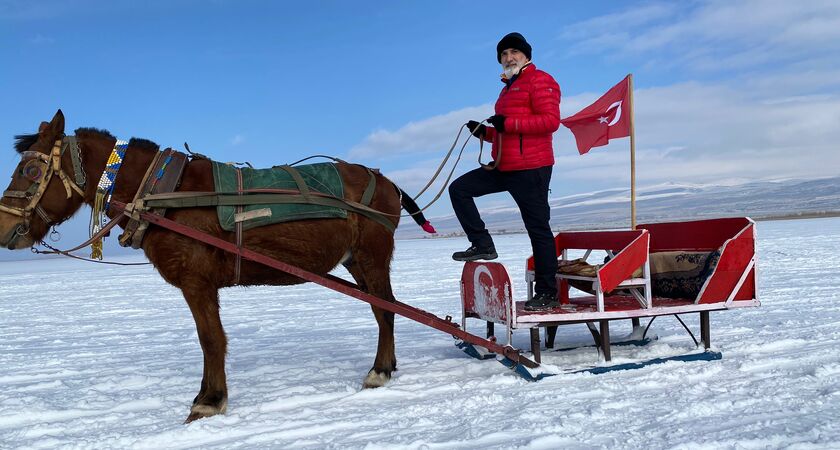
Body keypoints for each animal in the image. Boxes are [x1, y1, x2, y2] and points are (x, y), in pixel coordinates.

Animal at [0, 110, 420, 424]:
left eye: (30, 171)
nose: (4, 229)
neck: (162, 196)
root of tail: (387, 181)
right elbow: (210, 340)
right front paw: (207, 395)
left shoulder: (196, 281)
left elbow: (211, 339)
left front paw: (210, 400)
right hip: (356, 261)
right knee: (385, 308)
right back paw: (387, 364)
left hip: (372, 254)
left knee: (386, 310)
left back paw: (379, 370)